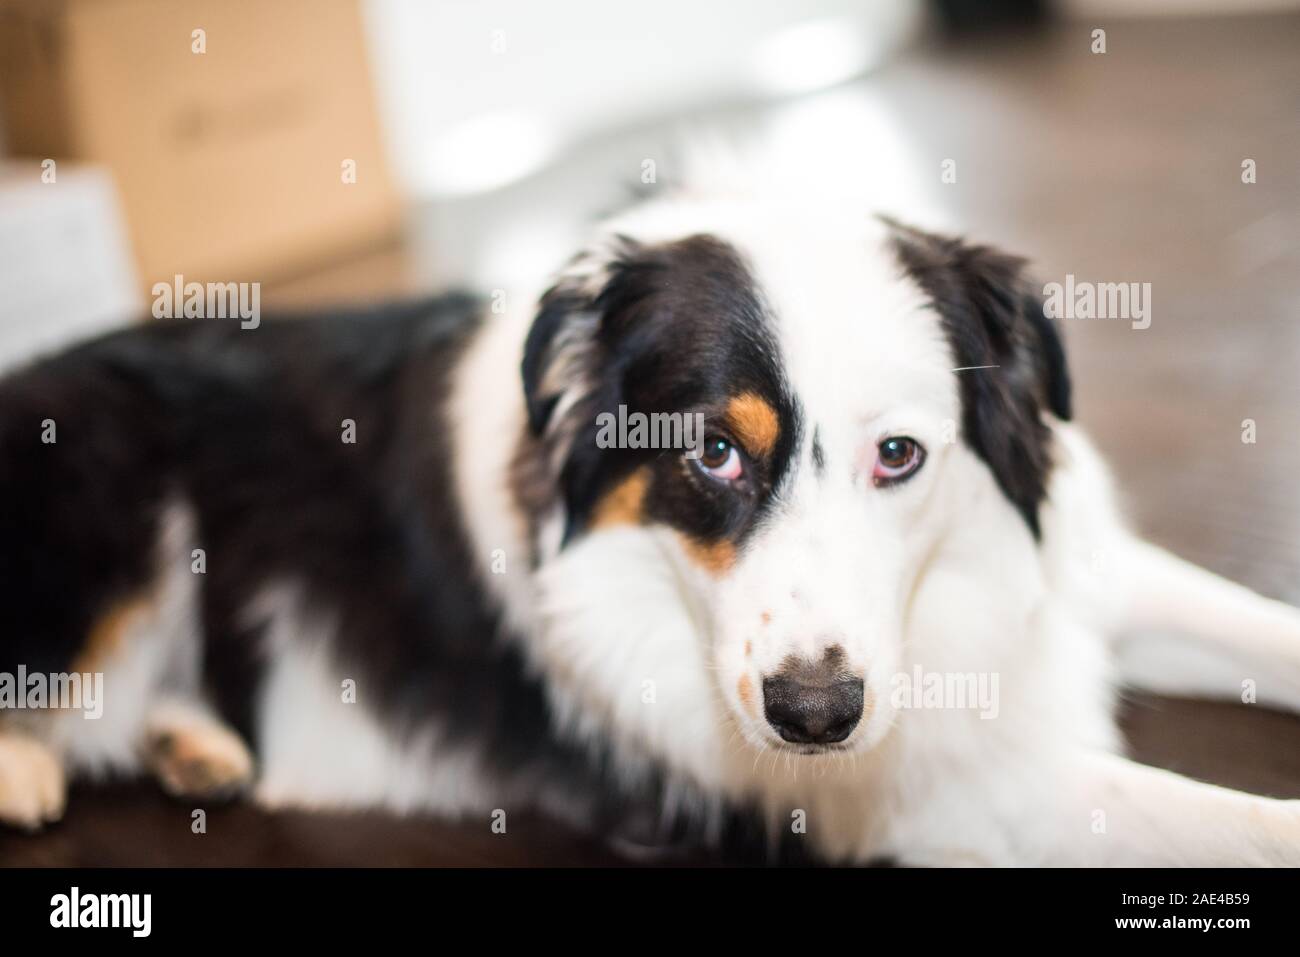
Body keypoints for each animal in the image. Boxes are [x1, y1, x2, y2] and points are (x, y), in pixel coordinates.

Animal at [2, 191, 1300, 863]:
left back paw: (196, 745)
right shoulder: (917, 800)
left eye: (899, 456)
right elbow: (1231, 819)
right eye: (712, 454)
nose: (814, 716)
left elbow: (1256, 625)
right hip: (102, 496)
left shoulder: (1083, 573)